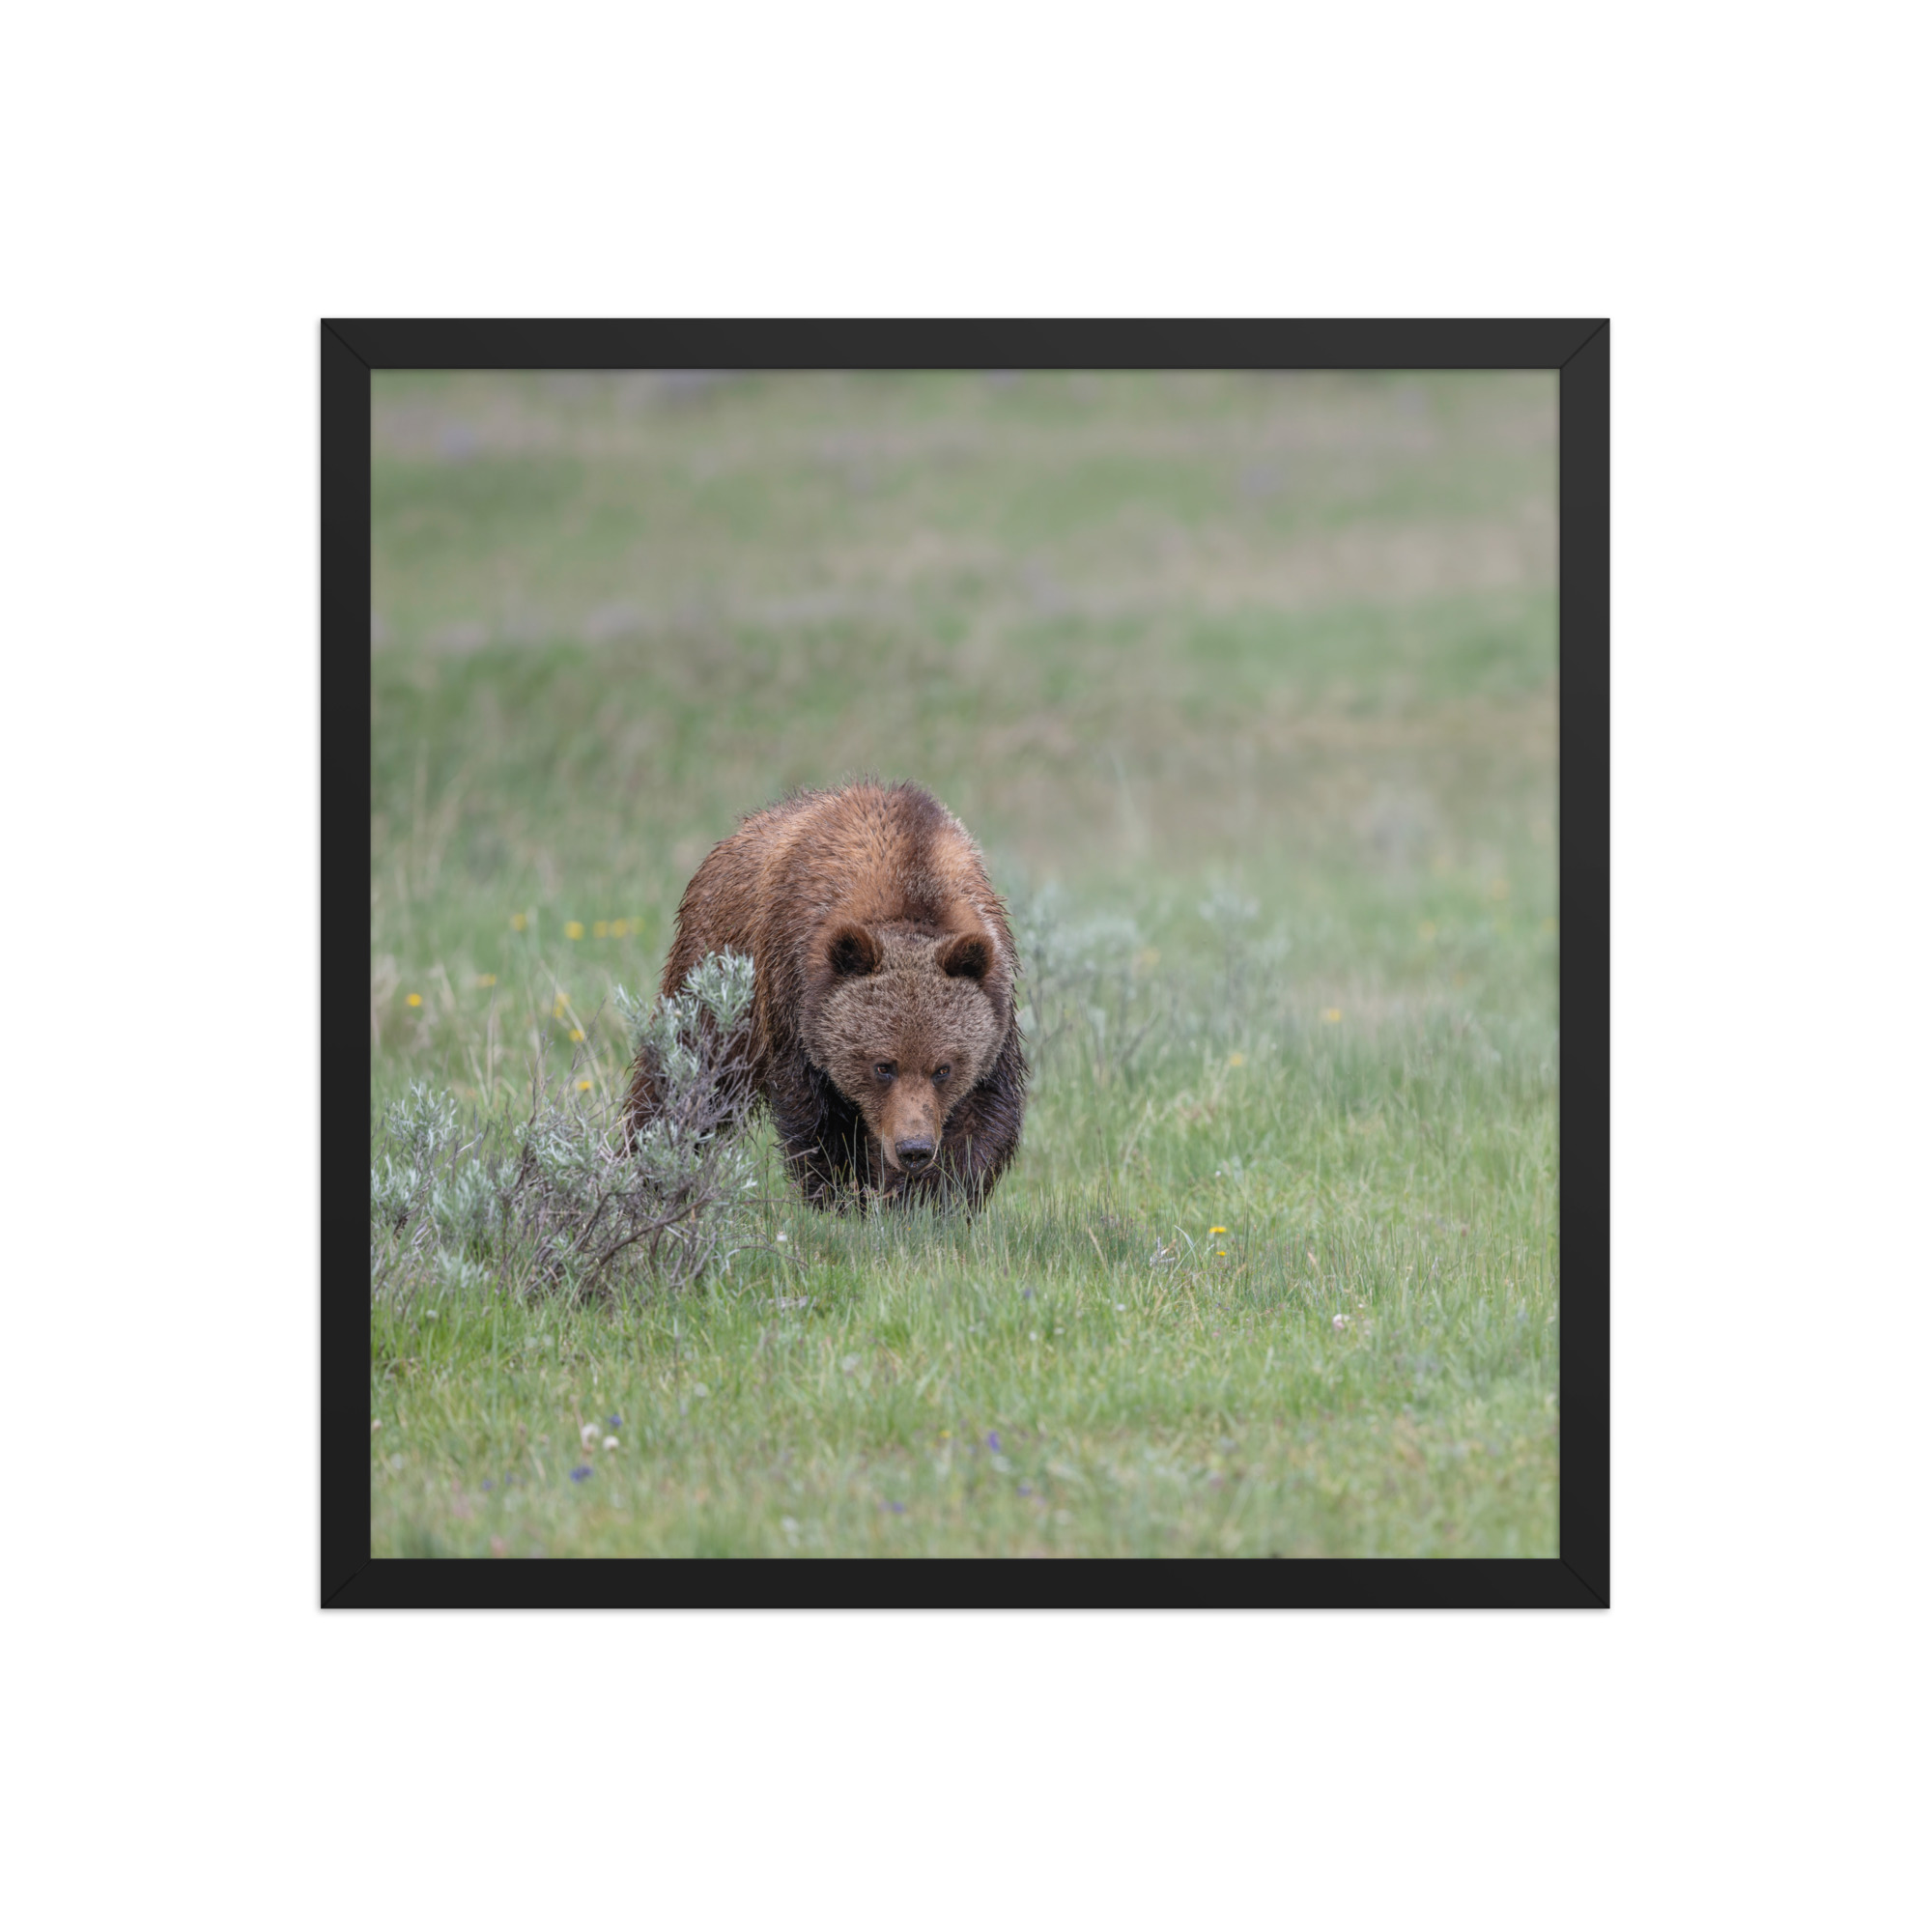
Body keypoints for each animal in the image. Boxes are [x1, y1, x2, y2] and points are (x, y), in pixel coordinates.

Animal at [624, 780, 1028, 1210]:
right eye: (882, 1066)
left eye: (943, 1068)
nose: (913, 1149)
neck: (911, 885)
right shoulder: (794, 996)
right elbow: (817, 1118)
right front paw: (842, 1197)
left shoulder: (995, 1008)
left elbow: (982, 1116)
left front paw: (929, 1200)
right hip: (716, 974)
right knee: (685, 1074)